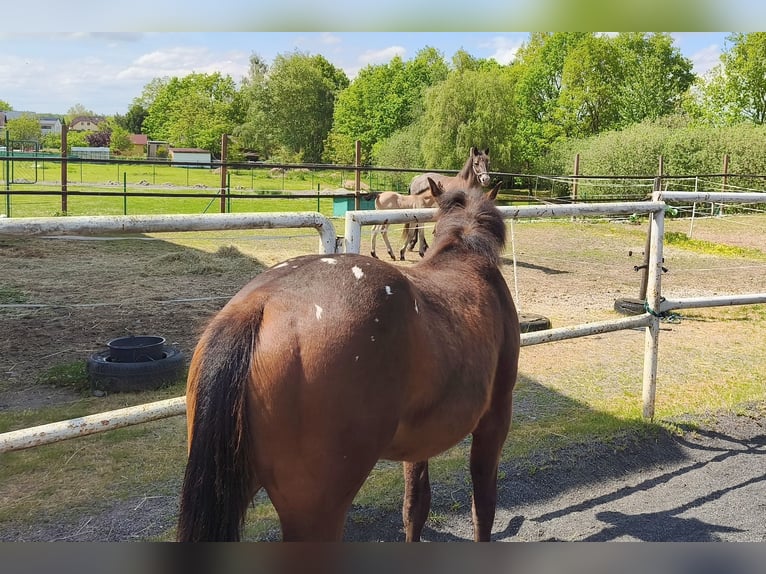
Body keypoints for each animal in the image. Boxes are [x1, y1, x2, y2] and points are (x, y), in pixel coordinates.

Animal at [176, 177, 520, 542]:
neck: (466, 256)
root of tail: (259, 304)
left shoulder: (420, 441)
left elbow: (415, 506)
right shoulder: (494, 419)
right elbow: (483, 506)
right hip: (316, 513)